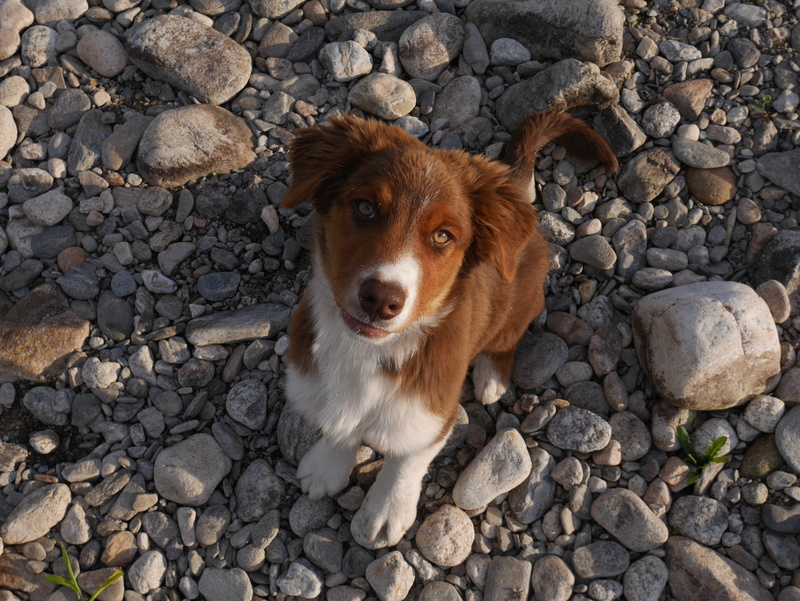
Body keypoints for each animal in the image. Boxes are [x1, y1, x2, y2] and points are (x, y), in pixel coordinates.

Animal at [282, 110, 620, 548]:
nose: (381, 299)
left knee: (508, 337)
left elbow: (406, 461)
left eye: (442, 236)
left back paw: (492, 378)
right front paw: (326, 467)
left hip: (518, 305)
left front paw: (385, 512)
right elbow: (339, 424)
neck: (367, 350)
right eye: (365, 207)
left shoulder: (433, 412)